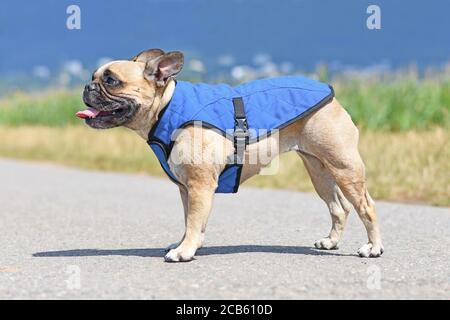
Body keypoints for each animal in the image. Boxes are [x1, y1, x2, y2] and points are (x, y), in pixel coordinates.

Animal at [76, 48, 384, 262]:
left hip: (344, 167)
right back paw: (331, 242)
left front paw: (184, 251)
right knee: (338, 207)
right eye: (94, 78)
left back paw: (373, 247)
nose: (87, 87)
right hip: (318, 170)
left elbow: (194, 219)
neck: (167, 107)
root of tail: (331, 94)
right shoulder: (187, 188)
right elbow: (190, 220)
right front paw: (187, 244)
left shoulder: (200, 185)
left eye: (111, 81)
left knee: (366, 206)